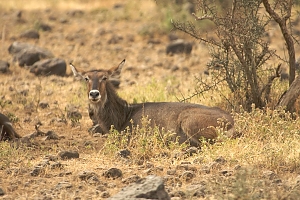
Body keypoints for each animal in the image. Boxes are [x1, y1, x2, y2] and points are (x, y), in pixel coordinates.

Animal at [71, 59, 234, 145]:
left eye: (105, 77)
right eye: (86, 78)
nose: (94, 93)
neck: (124, 115)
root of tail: (232, 121)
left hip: (188, 121)